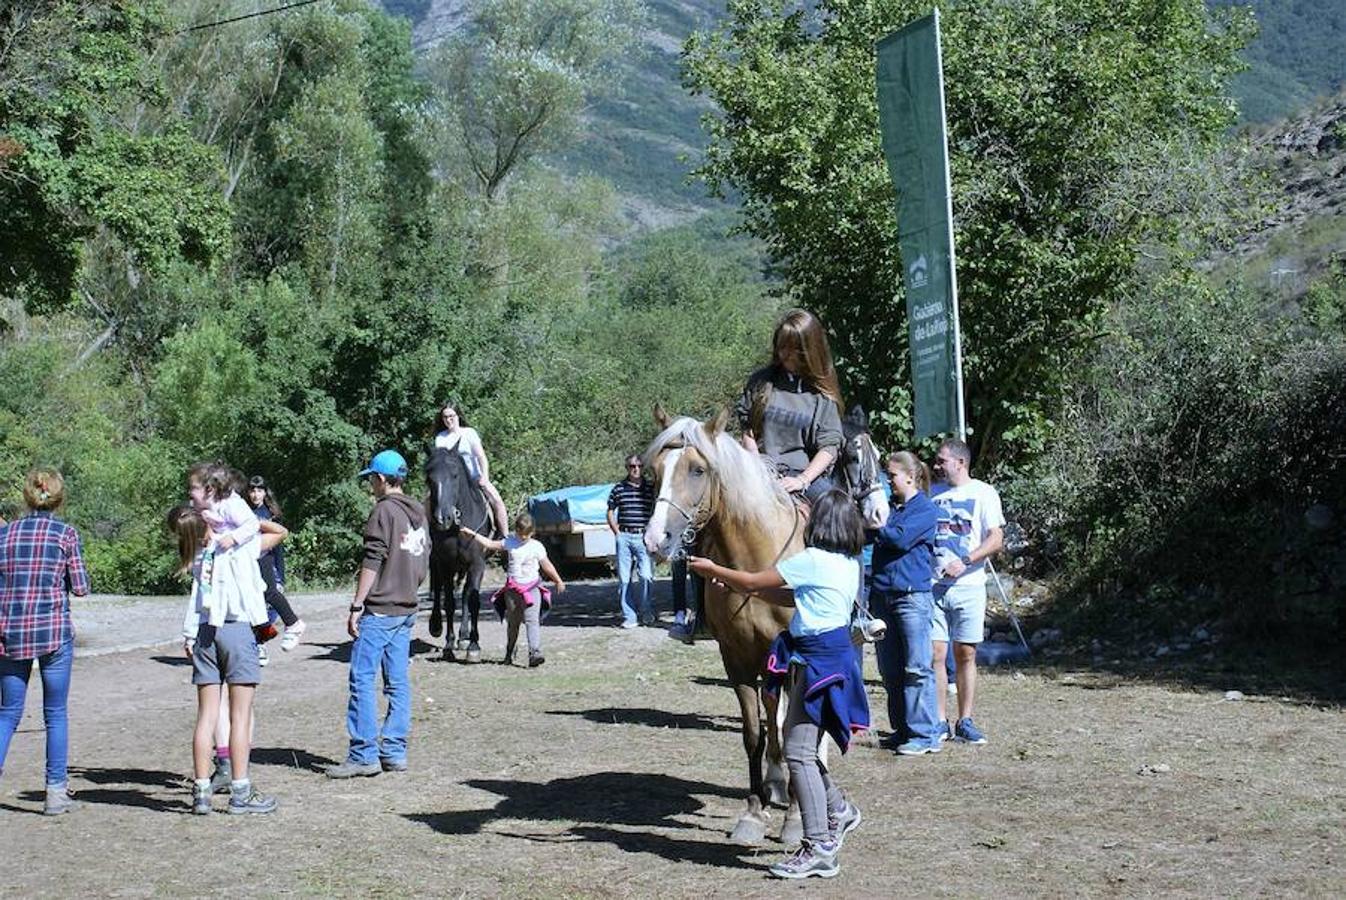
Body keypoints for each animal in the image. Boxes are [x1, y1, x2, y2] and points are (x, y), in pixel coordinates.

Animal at [425, 446, 489, 659]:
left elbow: (473, 599)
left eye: (454, 475)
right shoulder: (445, 564)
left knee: (467, 594)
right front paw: (448, 644)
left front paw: (473, 645)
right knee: (437, 591)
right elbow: (450, 603)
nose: (442, 518)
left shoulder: (477, 564)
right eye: (428, 477)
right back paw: (436, 625)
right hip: (436, 562)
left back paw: (464, 636)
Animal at [638, 406, 796, 844]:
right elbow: (754, 734)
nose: (656, 540)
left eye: (697, 469)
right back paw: (776, 782)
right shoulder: (737, 658)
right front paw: (753, 814)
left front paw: (795, 821)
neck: (756, 567)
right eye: (654, 472)